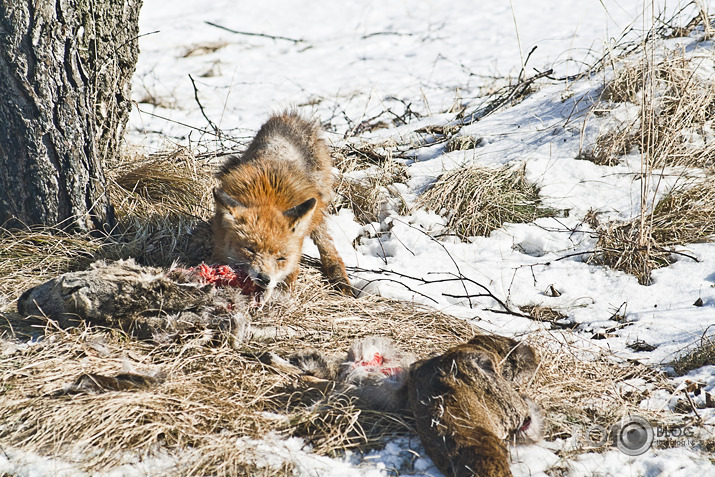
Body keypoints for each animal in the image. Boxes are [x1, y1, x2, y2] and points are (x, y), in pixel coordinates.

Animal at [211, 112, 352, 300]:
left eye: (281, 258)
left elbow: (290, 277)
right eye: (250, 250)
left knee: (327, 246)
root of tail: (289, 116)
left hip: (318, 208)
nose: (264, 279)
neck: (267, 195)